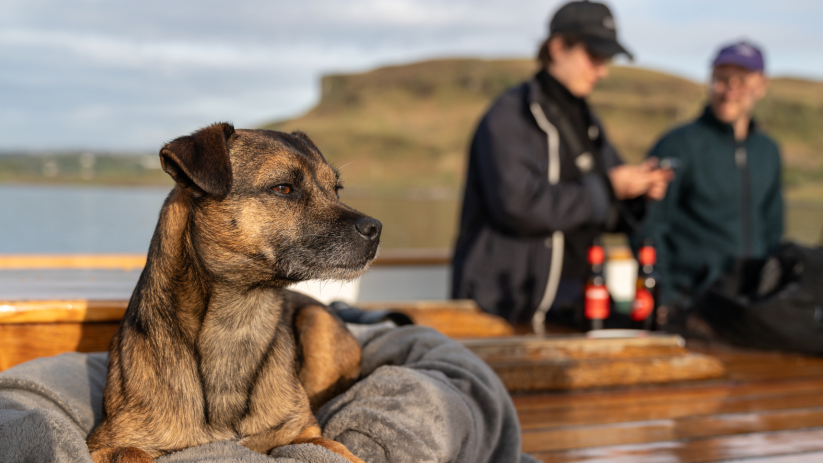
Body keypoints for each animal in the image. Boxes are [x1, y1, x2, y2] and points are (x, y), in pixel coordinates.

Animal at [85, 121, 382, 462]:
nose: (376, 229)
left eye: (336, 190)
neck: (239, 320)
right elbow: (133, 454)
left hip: (316, 321)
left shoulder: (303, 431)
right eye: (283, 188)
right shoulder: (108, 443)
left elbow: (338, 449)